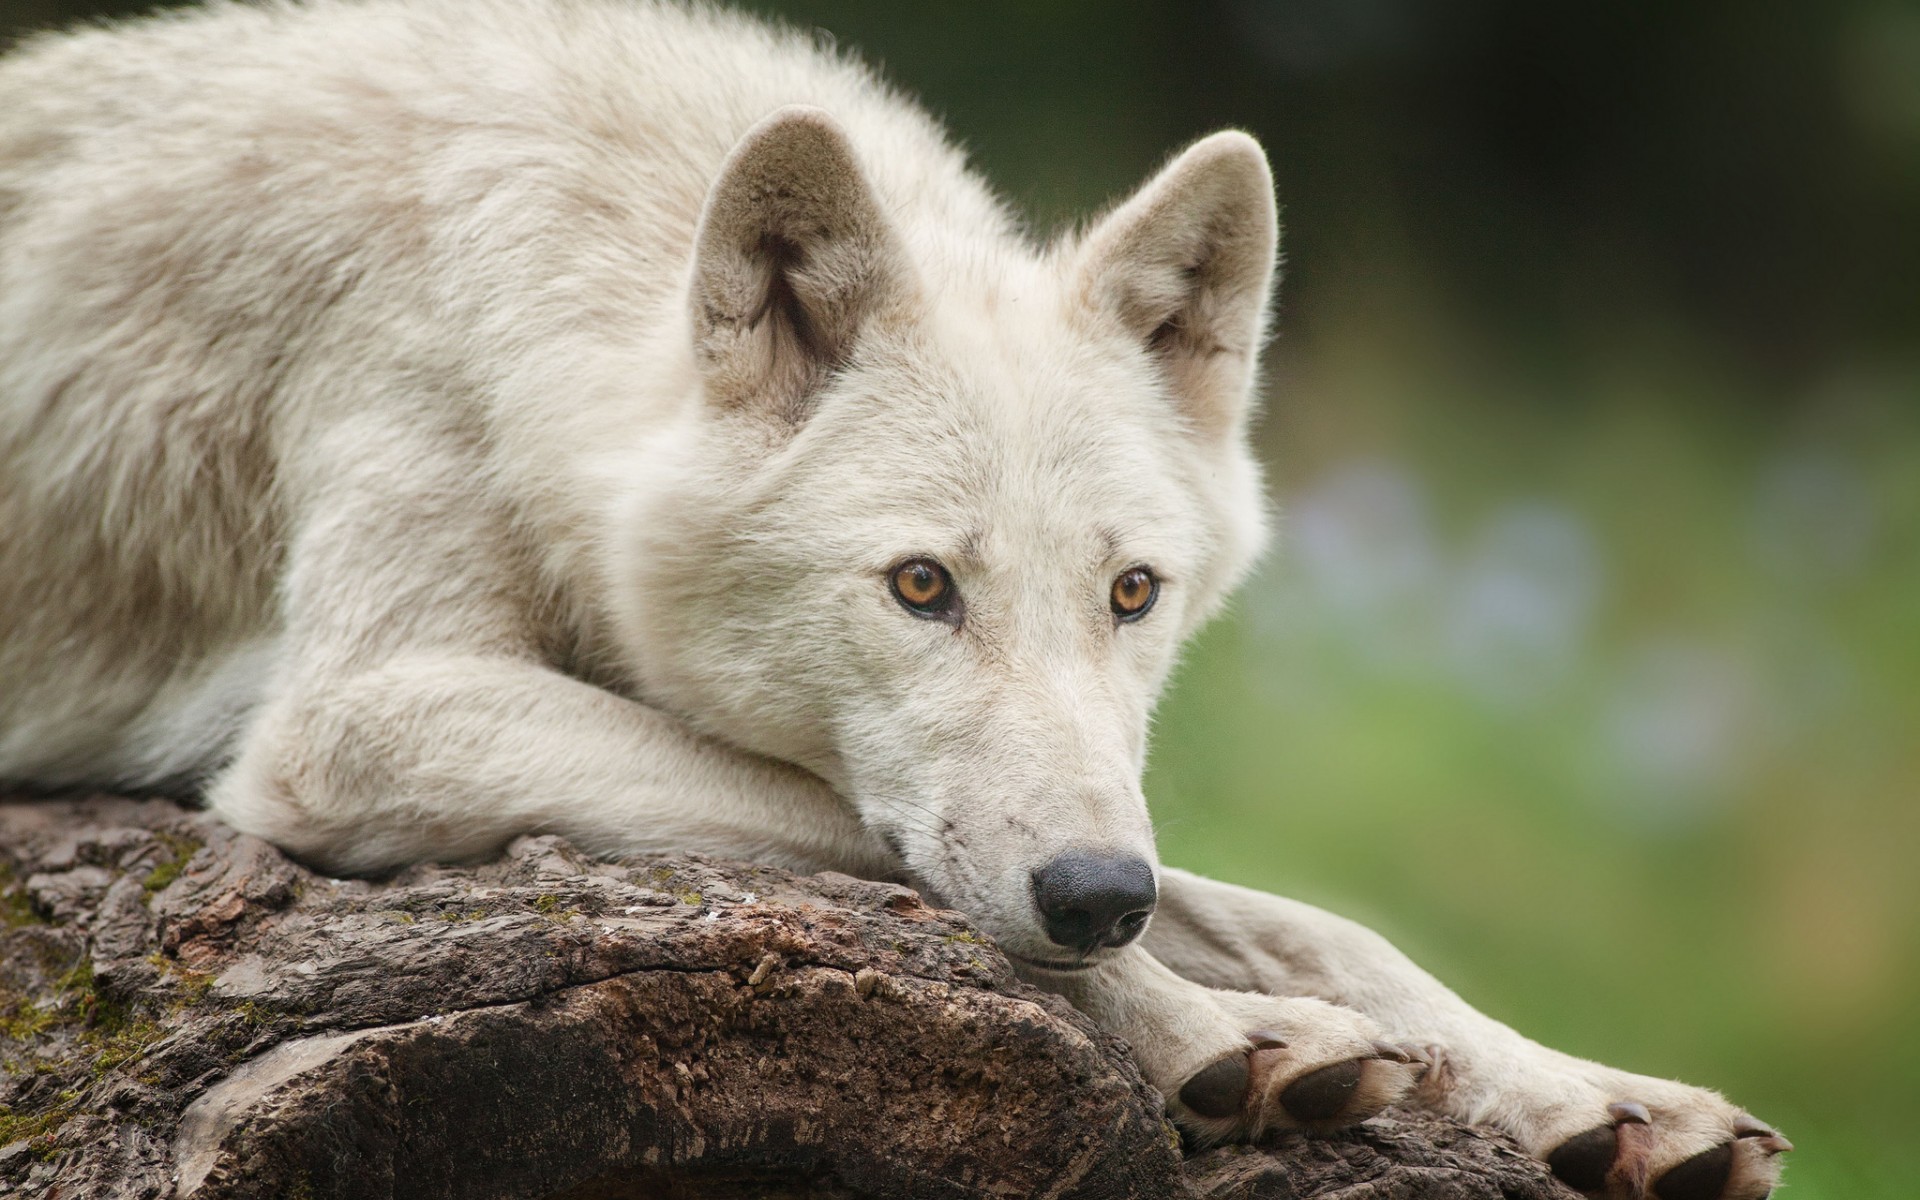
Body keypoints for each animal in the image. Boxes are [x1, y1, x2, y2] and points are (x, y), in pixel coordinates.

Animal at [0, 2, 1781, 1190]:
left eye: (1134, 592)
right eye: (922, 587)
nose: (1098, 897)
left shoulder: (1114, 816)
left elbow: (1306, 917)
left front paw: (1588, 1096)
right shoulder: (355, 718)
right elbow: (865, 837)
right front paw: (1214, 1033)